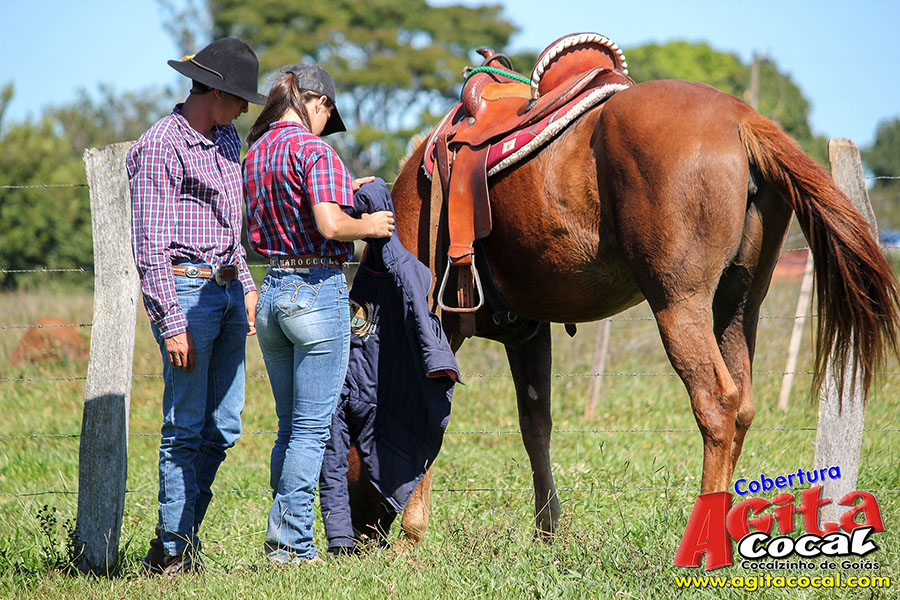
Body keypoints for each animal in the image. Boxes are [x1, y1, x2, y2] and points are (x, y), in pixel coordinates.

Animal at [348, 76, 900, 548]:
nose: (357, 538)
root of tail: (742, 118)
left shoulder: (439, 327)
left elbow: (433, 419)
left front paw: (413, 534)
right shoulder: (529, 334)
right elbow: (535, 426)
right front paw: (547, 533)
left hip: (679, 305)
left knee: (717, 404)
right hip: (739, 305)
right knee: (742, 404)